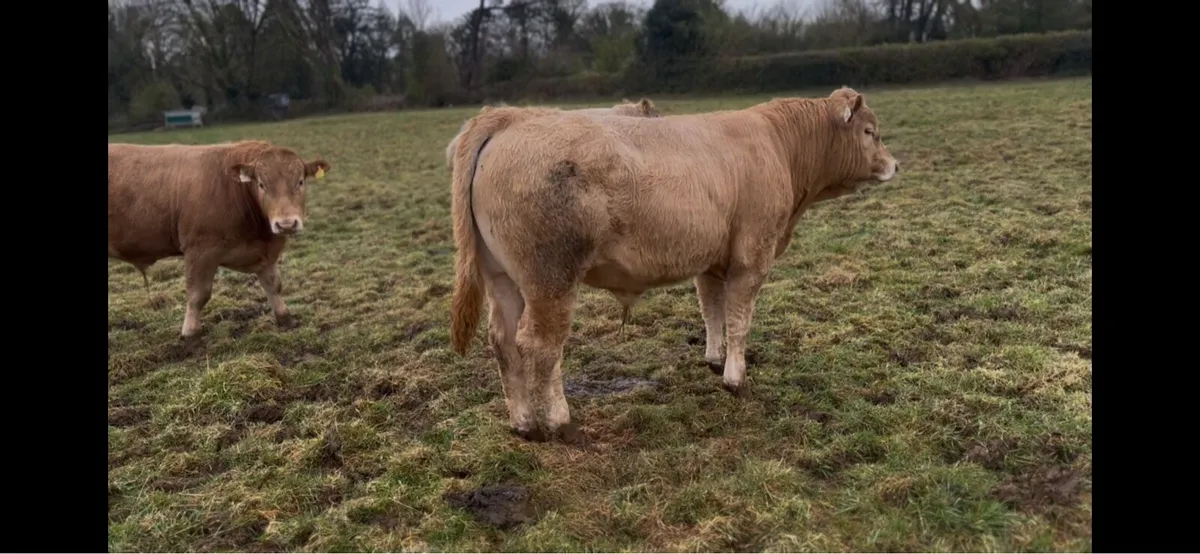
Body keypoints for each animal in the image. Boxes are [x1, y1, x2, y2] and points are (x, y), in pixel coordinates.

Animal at [108, 140, 331, 338]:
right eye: (261, 184)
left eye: (300, 181)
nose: (286, 224)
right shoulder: (200, 251)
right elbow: (198, 294)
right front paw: (190, 332)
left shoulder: (264, 252)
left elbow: (273, 284)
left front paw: (284, 318)